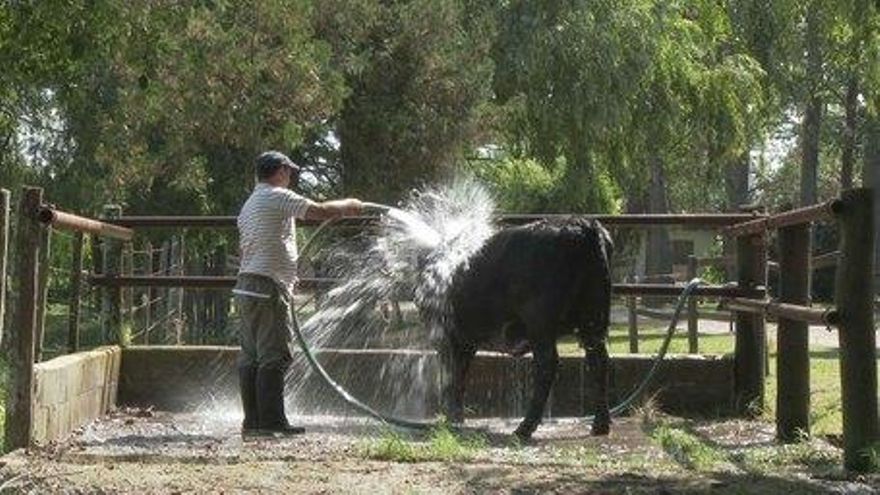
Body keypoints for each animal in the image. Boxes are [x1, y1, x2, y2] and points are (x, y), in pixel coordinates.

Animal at [434, 218, 612, 442]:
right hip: (592, 318)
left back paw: (525, 428)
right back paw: (600, 424)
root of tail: (583, 226)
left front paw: (452, 416)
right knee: (598, 361)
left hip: (540, 323)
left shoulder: (453, 335)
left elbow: (454, 373)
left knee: (547, 365)